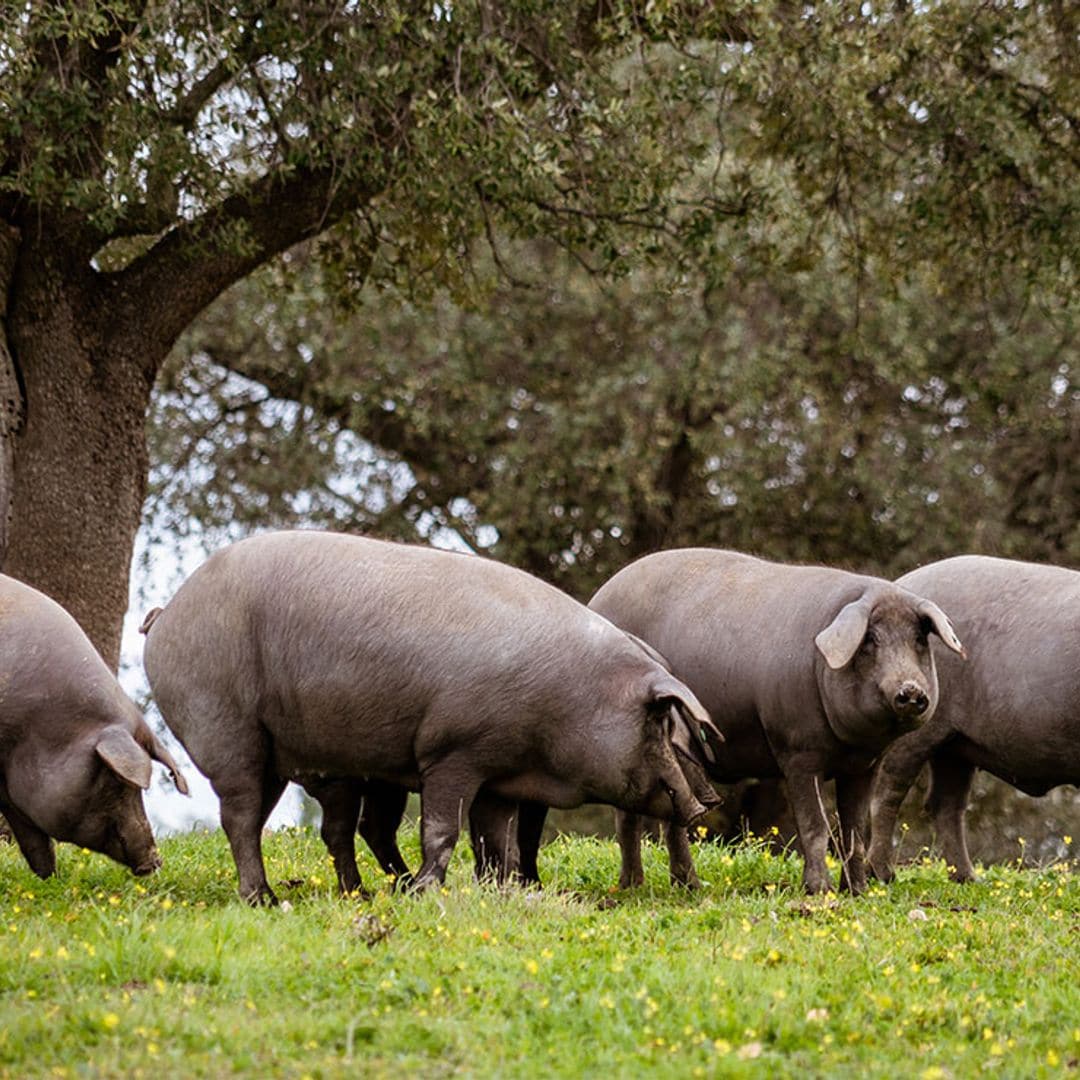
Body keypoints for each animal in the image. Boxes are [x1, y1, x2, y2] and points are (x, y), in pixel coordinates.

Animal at [139, 531, 721, 902]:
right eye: (657, 725)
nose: (707, 802)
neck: (568, 699)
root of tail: (167, 613)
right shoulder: (453, 751)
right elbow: (443, 830)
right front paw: (426, 892)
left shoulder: (500, 776)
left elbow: (493, 840)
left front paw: (498, 891)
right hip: (224, 728)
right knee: (239, 816)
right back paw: (265, 899)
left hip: (285, 755)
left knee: (293, 822)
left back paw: (361, 893)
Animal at [587, 548, 967, 894]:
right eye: (870, 640)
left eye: (918, 640)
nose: (911, 690)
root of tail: (598, 597)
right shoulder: (796, 749)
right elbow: (815, 826)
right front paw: (819, 891)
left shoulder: (864, 766)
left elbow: (854, 830)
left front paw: (857, 892)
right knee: (635, 817)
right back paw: (641, 888)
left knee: (660, 817)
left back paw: (676, 887)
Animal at [864, 557, 1080, 885]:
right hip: (916, 727)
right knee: (887, 791)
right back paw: (883, 875)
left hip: (956, 744)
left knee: (946, 803)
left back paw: (968, 879)